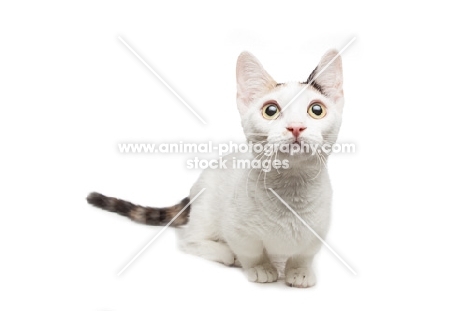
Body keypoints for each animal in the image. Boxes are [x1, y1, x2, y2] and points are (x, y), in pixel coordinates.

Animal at [88, 50, 344, 288]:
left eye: (316, 110)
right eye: (270, 111)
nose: (296, 127)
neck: (291, 190)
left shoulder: (318, 231)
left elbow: (304, 254)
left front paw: (299, 271)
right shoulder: (237, 231)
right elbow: (250, 252)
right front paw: (260, 267)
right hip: (205, 210)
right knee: (189, 240)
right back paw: (228, 254)